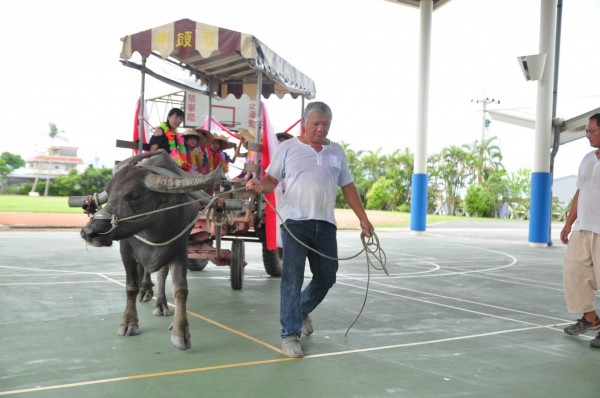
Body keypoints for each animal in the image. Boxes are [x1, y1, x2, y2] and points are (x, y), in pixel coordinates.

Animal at [79, 151, 220, 350]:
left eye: (134, 195)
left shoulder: (179, 250)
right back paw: (145, 291)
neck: (152, 230)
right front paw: (128, 323)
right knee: (144, 271)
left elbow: (180, 289)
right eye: (109, 191)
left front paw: (180, 332)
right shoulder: (126, 250)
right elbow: (131, 286)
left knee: (161, 275)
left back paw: (160, 304)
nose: (89, 232)